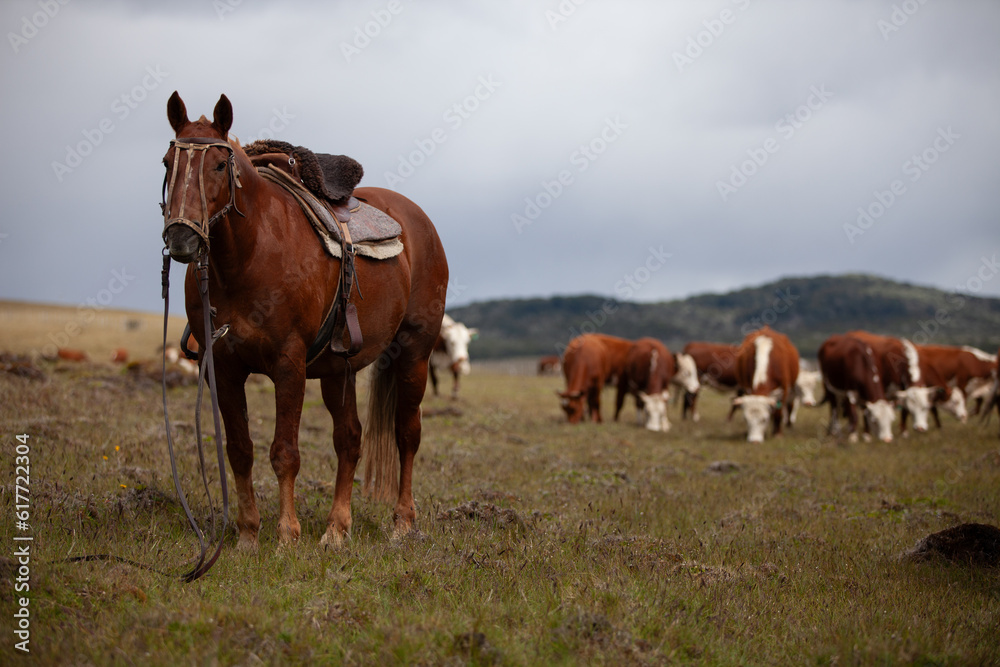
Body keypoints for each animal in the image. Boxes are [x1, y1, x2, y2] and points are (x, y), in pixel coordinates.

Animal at [161, 94, 450, 552]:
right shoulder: (223, 368)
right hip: (338, 370)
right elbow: (240, 449)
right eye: (168, 162)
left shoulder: (289, 364)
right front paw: (247, 534)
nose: (181, 238)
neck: (247, 257)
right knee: (350, 439)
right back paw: (336, 528)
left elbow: (285, 452)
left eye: (220, 165)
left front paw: (286, 535)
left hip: (414, 354)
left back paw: (403, 522)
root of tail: (418, 221)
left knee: (407, 434)